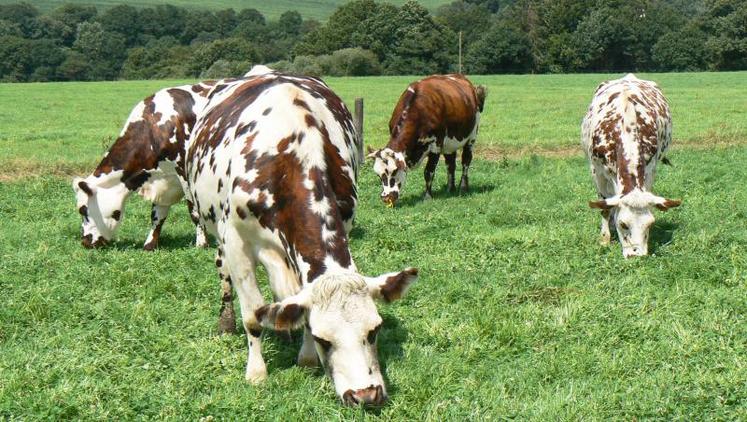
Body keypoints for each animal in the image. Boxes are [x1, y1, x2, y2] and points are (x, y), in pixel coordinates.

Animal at [72, 81, 216, 249]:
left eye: (83, 210)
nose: (85, 241)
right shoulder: (165, 181)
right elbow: (157, 214)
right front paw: (150, 245)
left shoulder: (185, 174)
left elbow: (194, 211)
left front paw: (202, 244)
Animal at [186, 71, 420, 408]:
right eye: (325, 339)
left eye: (374, 330)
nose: (365, 395)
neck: (288, 154)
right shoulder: (236, 242)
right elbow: (253, 315)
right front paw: (256, 372)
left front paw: (306, 357)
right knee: (225, 276)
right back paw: (227, 322)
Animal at [366, 76, 486, 209]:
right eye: (378, 175)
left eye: (395, 171)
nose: (386, 197)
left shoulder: (435, 146)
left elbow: (428, 172)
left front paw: (427, 196)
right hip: (449, 144)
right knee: (450, 164)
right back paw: (450, 189)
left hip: (471, 137)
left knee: (466, 161)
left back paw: (463, 188)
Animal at [584, 72, 684, 258]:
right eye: (623, 224)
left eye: (650, 224)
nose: (637, 256)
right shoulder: (597, 171)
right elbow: (604, 206)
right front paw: (604, 239)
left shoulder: (650, 170)